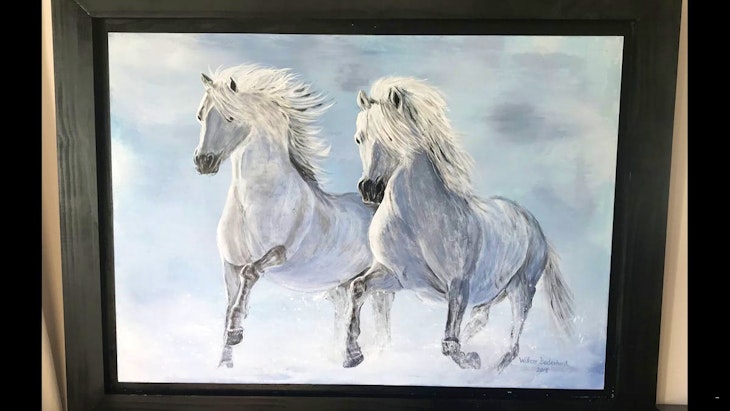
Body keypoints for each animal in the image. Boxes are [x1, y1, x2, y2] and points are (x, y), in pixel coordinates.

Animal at [192, 64, 394, 368]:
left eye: (230, 116)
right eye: (201, 115)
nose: (203, 161)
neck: (254, 204)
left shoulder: (279, 254)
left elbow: (250, 274)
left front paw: (237, 331)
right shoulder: (229, 265)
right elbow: (228, 307)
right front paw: (224, 363)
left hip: (383, 279)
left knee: (379, 319)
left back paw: (361, 355)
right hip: (341, 283)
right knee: (349, 309)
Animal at [342, 77, 575, 371]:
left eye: (393, 137)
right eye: (359, 138)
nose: (370, 190)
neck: (415, 225)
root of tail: (532, 222)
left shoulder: (459, 284)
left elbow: (449, 344)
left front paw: (472, 360)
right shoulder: (395, 276)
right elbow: (358, 287)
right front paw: (352, 354)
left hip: (523, 288)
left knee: (513, 344)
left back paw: (491, 368)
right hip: (493, 292)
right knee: (481, 319)